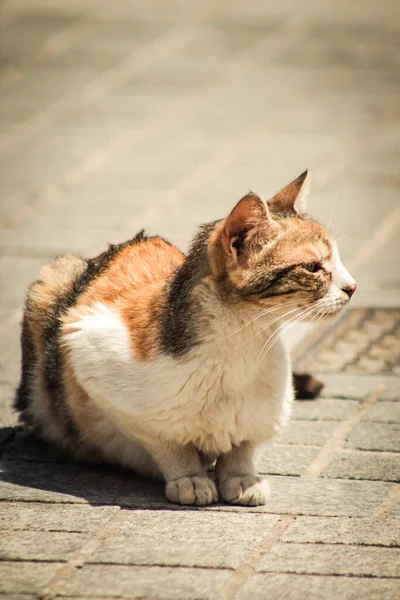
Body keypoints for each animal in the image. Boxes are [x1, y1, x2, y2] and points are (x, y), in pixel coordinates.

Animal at [14, 172, 356, 506]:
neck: (241, 343)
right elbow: (167, 442)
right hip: (51, 281)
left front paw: (241, 476)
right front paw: (188, 477)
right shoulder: (84, 345)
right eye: (313, 267)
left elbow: (243, 444)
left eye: (338, 261)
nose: (352, 287)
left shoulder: (261, 414)